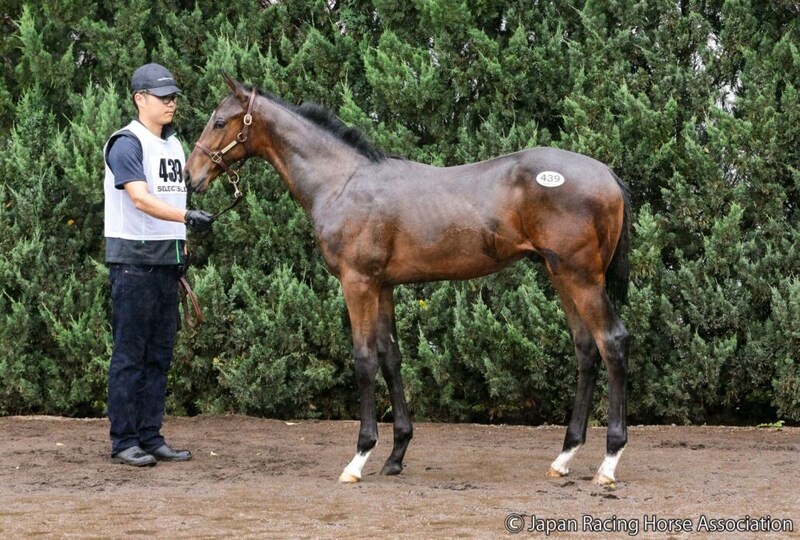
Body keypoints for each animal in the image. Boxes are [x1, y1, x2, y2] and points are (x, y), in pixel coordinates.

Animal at [184, 73, 632, 486]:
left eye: (220, 121)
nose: (191, 176)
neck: (342, 182)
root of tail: (607, 173)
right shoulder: (382, 285)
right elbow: (391, 357)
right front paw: (396, 454)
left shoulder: (358, 282)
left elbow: (364, 359)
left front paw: (359, 457)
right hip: (561, 275)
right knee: (586, 350)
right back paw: (565, 457)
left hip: (581, 277)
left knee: (611, 343)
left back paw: (609, 462)